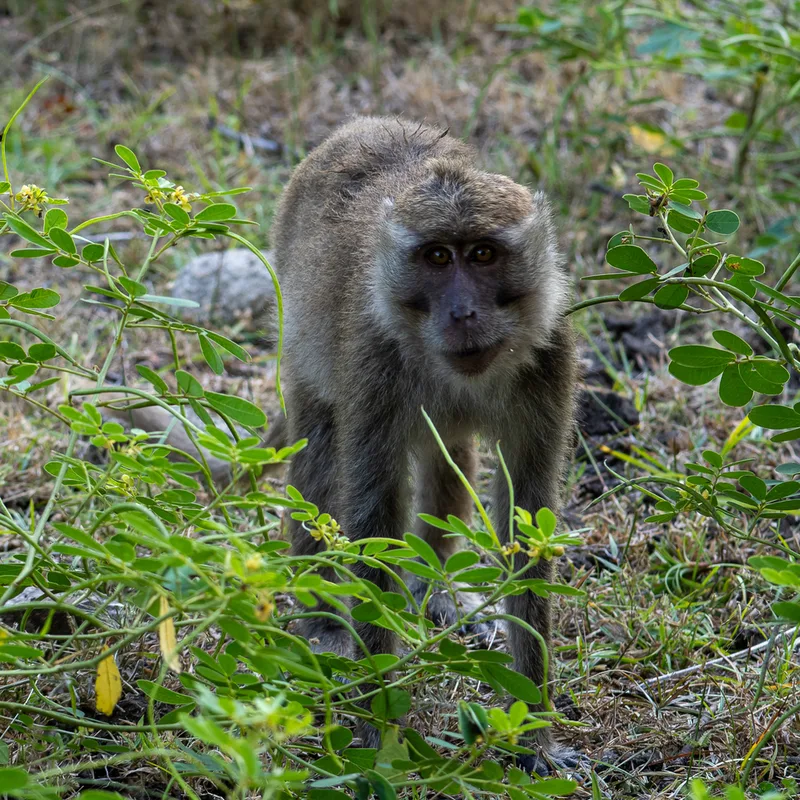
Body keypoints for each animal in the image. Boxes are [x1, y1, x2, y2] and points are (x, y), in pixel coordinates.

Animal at [271, 117, 579, 772]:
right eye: (437, 257)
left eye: (483, 254)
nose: (462, 313)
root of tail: (362, 124)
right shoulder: (372, 360)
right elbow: (372, 513)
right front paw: (377, 724)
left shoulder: (551, 357)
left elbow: (527, 516)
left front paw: (534, 731)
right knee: (320, 450)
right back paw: (323, 621)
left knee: (449, 453)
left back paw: (434, 591)